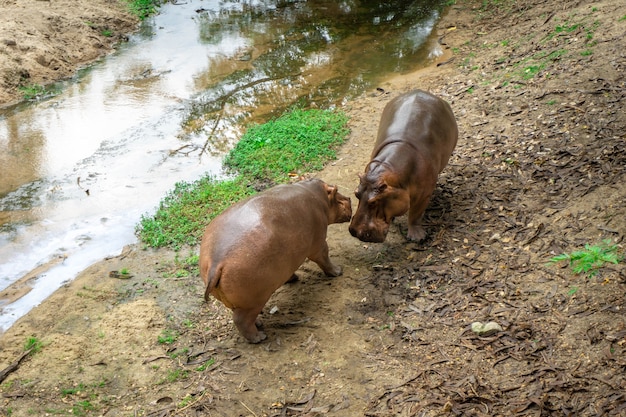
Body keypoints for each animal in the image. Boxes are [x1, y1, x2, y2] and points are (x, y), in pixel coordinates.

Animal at [199, 177, 348, 342]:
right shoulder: (319, 243)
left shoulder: (287, 262)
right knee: (241, 320)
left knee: (240, 315)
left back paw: (259, 324)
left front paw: (294, 278)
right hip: (255, 301)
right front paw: (338, 271)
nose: (349, 198)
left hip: (239, 301)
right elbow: (325, 258)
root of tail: (216, 263)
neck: (317, 194)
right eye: (336, 191)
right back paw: (259, 337)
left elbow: (290, 272)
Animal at [348, 89, 456, 242]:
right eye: (356, 194)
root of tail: (420, 91)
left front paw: (417, 238)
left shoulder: (423, 195)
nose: (354, 232)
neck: (388, 169)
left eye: (374, 202)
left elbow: (415, 214)